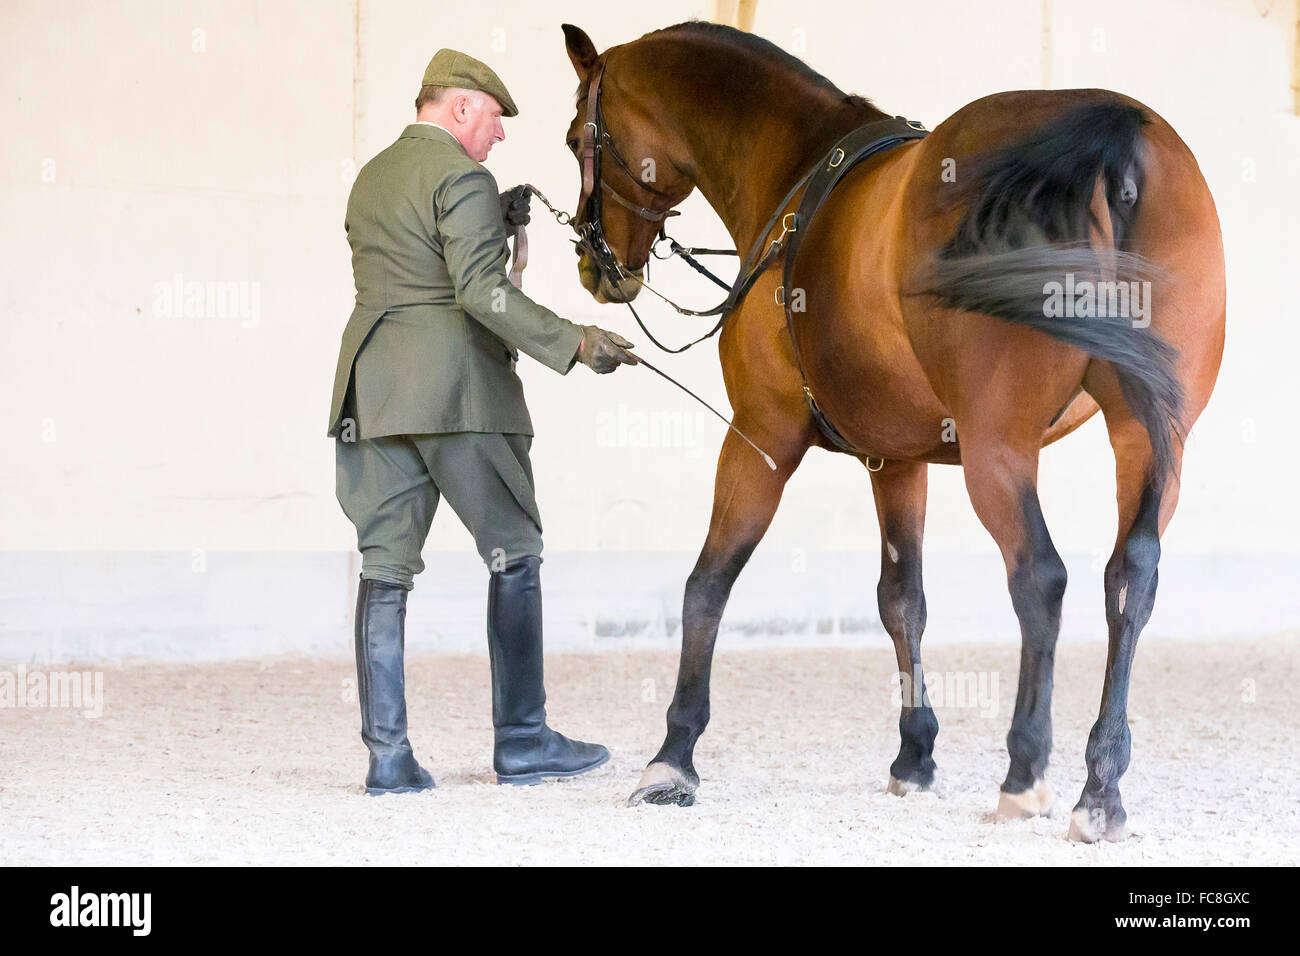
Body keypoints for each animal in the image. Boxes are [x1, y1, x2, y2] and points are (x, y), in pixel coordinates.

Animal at [559, 20, 1227, 842]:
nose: (594, 266)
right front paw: (915, 755)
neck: (797, 178)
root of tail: (1114, 140)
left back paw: (1025, 774)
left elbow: (706, 585)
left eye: (575, 138)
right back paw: (1100, 787)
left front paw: (672, 758)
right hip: (1148, 436)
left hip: (998, 448)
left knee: (1040, 578)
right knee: (1130, 578)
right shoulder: (896, 461)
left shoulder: (759, 437)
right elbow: (902, 600)